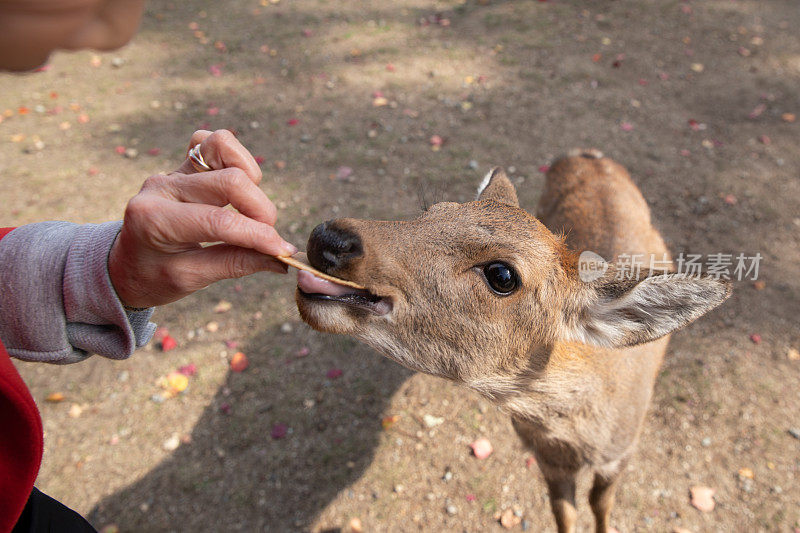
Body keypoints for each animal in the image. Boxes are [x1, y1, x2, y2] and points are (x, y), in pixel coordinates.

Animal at [290, 150, 732, 532]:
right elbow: (563, 513)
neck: (581, 436)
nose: (329, 237)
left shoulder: (621, 454)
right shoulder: (547, 461)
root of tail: (589, 154)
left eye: (502, 275)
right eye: (431, 211)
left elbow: (601, 505)